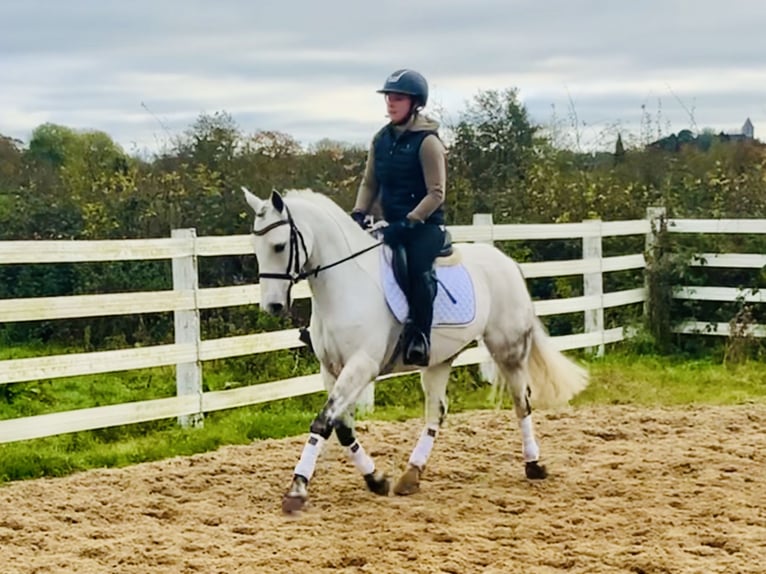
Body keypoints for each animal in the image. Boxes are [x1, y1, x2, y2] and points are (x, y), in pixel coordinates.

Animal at [243, 188, 592, 512]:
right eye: (256, 248)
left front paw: (297, 489)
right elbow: (341, 427)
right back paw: (411, 475)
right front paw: (376, 479)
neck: (344, 286)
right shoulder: (331, 369)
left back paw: (534, 465)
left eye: (279, 246)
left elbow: (322, 422)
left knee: (522, 403)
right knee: (437, 411)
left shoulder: (362, 365)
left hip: (508, 348)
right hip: (439, 359)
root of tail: (507, 262)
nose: (272, 306)